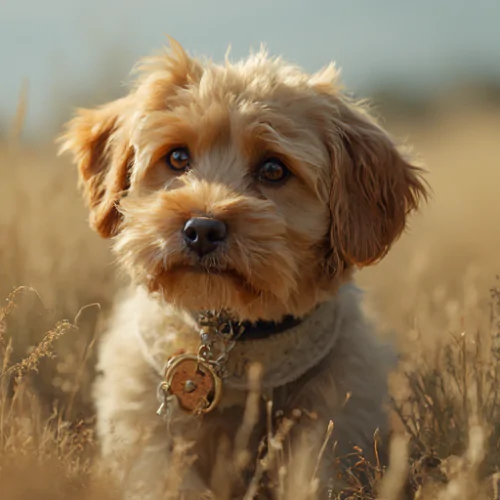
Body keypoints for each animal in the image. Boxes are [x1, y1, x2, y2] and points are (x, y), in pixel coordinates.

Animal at [57, 40, 426, 500]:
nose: (201, 229)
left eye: (273, 169)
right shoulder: (143, 429)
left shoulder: (335, 418)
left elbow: (312, 476)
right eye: (177, 157)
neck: (232, 342)